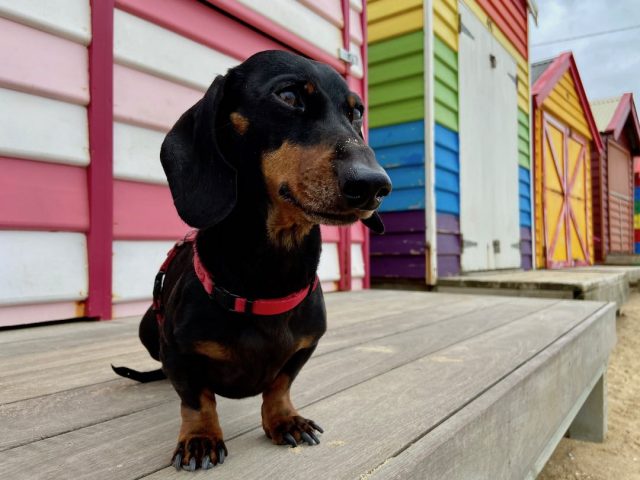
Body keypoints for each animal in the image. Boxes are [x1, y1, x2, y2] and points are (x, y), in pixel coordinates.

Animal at [114, 50, 390, 470]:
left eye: (356, 112)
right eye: (289, 96)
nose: (375, 185)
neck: (269, 272)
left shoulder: (305, 346)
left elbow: (279, 384)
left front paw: (285, 420)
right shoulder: (178, 352)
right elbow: (196, 399)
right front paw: (200, 438)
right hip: (148, 324)